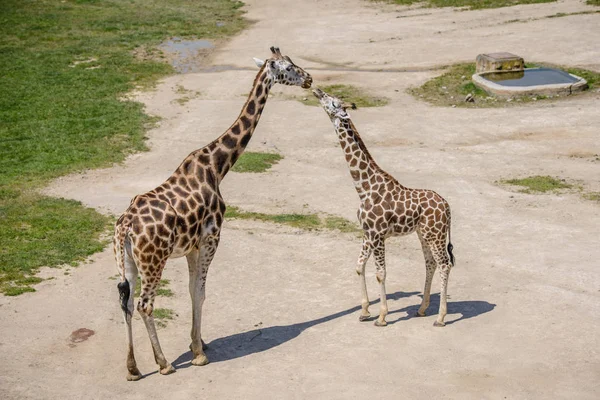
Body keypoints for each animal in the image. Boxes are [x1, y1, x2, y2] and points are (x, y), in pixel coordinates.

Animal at [112, 47, 312, 382]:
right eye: (288, 68)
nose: (309, 79)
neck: (218, 166)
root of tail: (125, 227)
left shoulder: (192, 246)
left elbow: (193, 291)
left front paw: (199, 342)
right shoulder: (211, 238)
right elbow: (201, 292)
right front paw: (198, 354)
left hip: (126, 261)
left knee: (125, 303)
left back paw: (132, 369)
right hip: (154, 261)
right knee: (145, 305)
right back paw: (163, 364)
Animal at [314, 88, 454, 328]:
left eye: (332, 102)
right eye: (328, 96)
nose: (316, 90)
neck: (364, 187)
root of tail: (446, 206)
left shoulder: (378, 234)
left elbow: (381, 273)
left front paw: (381, 317)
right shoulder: (367, 233)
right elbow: (359, 266)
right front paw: (364, 311)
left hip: (435, 234)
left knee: (444, 264)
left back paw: (440, 317)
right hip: (424, 234)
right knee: (430, 264)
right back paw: (422, 309)